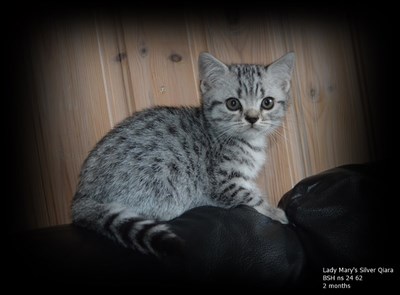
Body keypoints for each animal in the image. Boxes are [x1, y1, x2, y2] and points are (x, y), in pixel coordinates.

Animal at [72, 52, 296, 256]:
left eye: (267, 102)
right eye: (233, 103)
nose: (252, 118)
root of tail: (82, 194)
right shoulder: (222, 183)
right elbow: (251, 197)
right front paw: (275, 211)